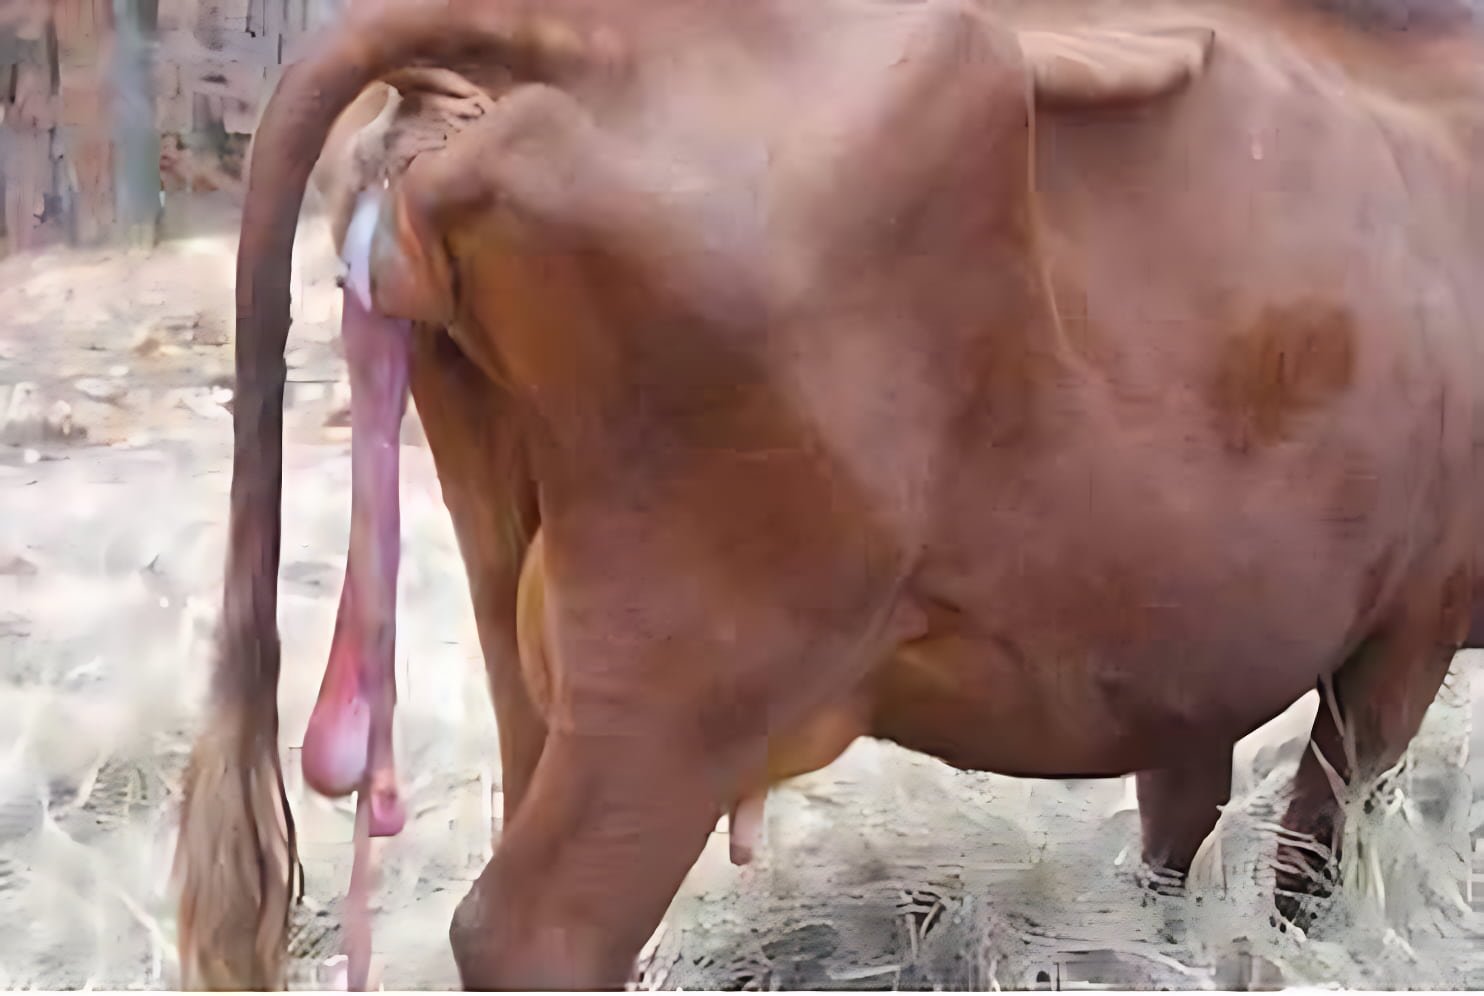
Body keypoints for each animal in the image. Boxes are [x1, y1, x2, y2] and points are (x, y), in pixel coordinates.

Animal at [172, 0, 1484, 989]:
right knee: (535, 931)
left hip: (523, 606)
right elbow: (1313, 848)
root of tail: (578, 36)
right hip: (699, 656)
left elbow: (1179, 817)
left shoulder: (1196, 649)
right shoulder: (1408, 616)